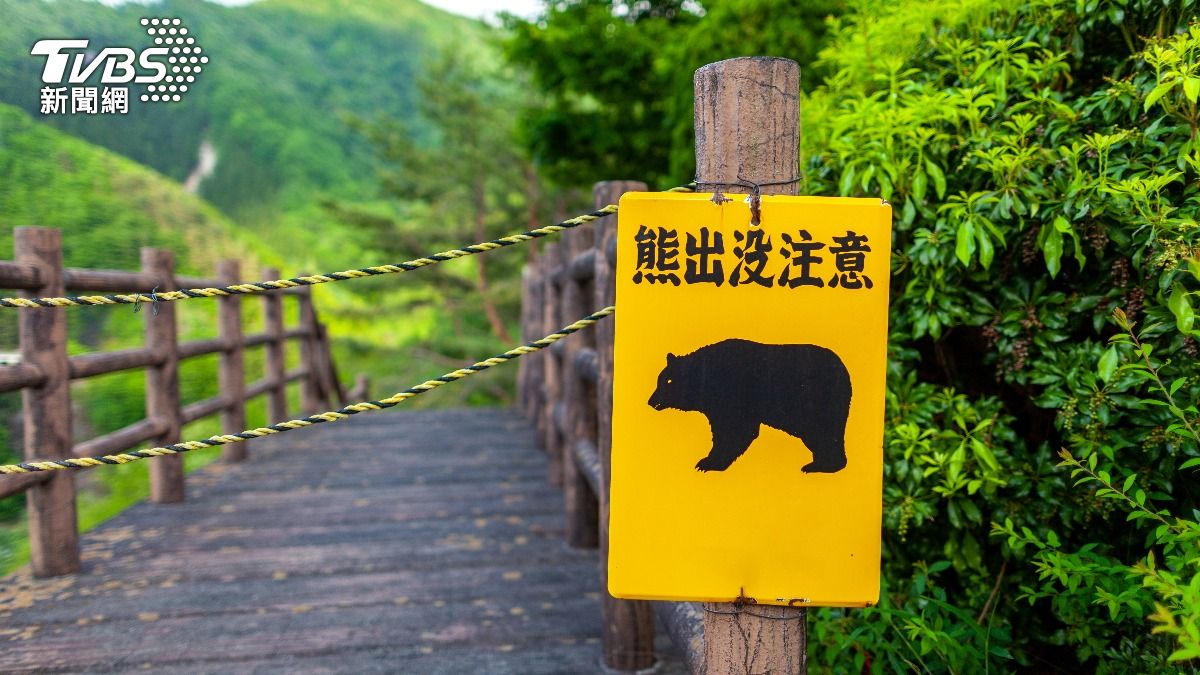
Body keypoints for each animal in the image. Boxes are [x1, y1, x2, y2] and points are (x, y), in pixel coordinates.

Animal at [647, 339, 852, 473]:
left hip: (817, 404)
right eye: (660, 380)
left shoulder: (732, 397)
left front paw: (708, 462)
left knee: (825, 433)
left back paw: (821, 466)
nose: (651, 401)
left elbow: (734, 430)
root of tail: (844, 370)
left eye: (668, 381)